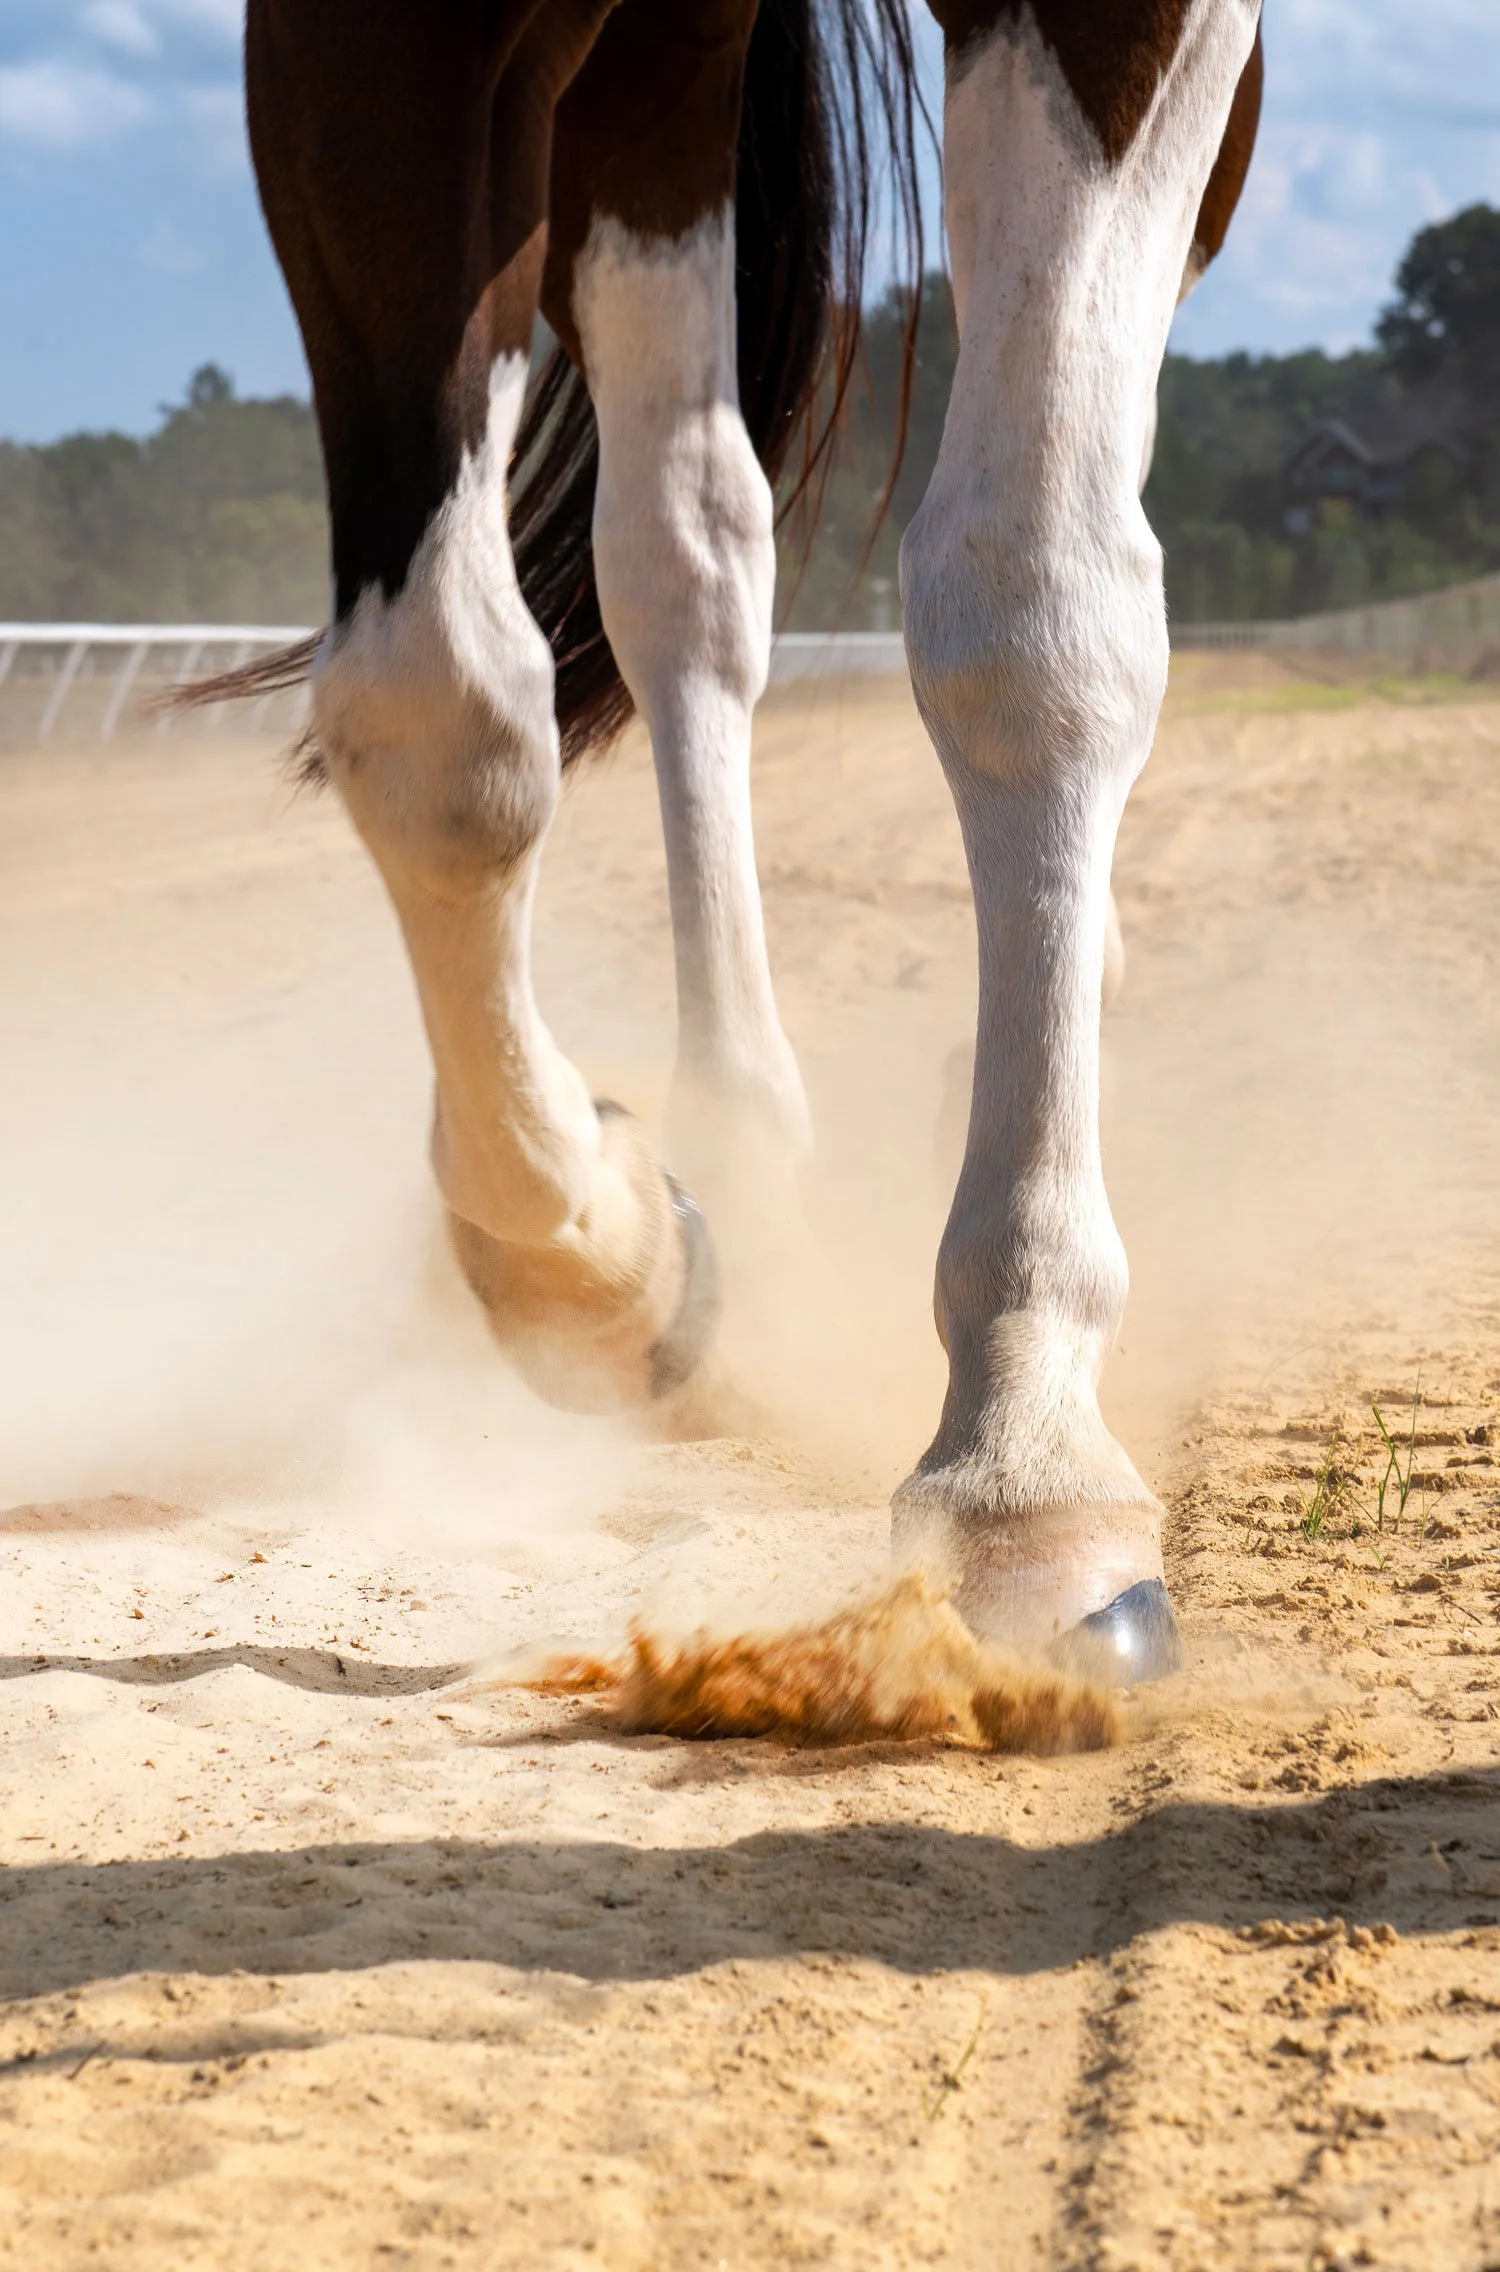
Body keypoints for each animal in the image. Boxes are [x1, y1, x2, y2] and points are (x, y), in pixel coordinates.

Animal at [194, 0, 1264, 1683]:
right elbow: (437, 700)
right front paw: (603, 1251)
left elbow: (1035, 596)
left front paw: (1027, 1447)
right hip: (659, 94)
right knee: (686, 556)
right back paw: (740, 1157)